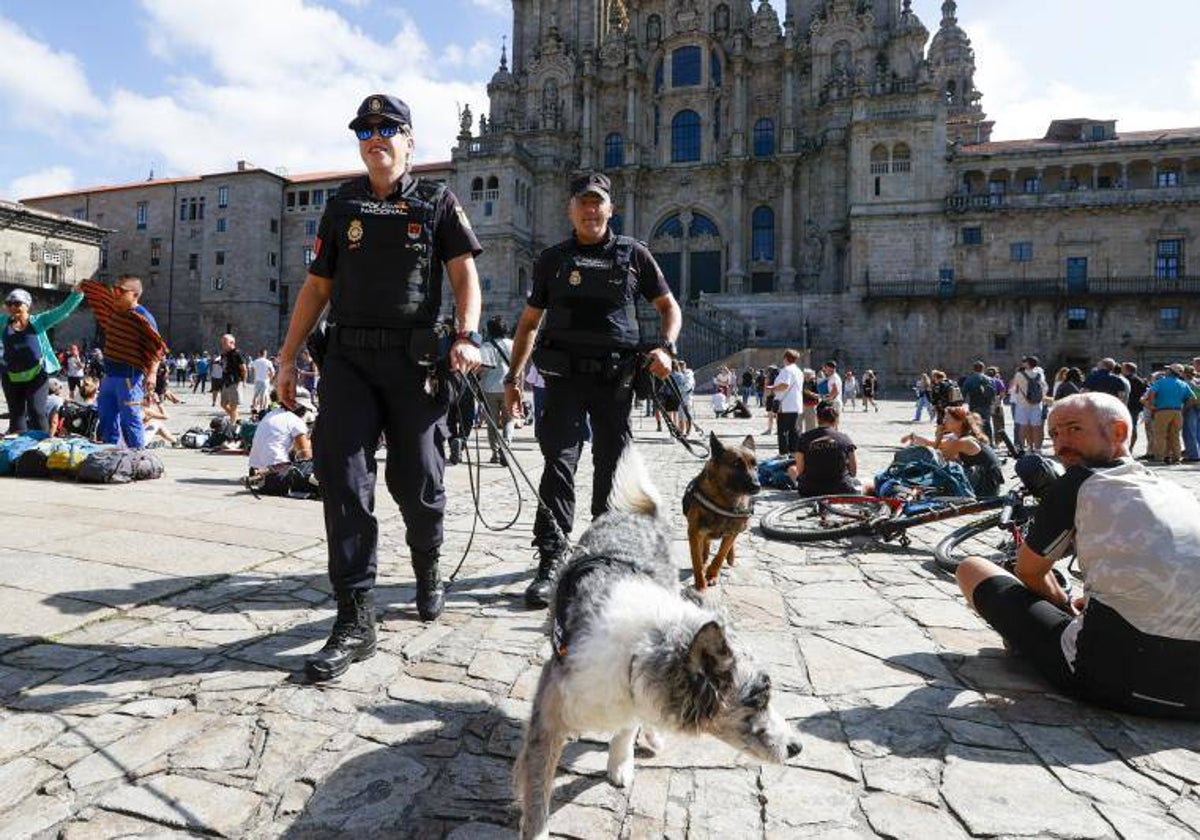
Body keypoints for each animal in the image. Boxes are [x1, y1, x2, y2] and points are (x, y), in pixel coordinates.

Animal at [686, 432, 758, 590]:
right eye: (736, 464)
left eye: (755, 465)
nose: (757, 486)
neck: (724, 501)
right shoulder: (694, 533)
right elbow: (696, 560)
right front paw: (700, 585)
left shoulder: (732, 531)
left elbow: (720, 555)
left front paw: (712, 574)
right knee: (706, 545)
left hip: (740, 527)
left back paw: (730, 557)